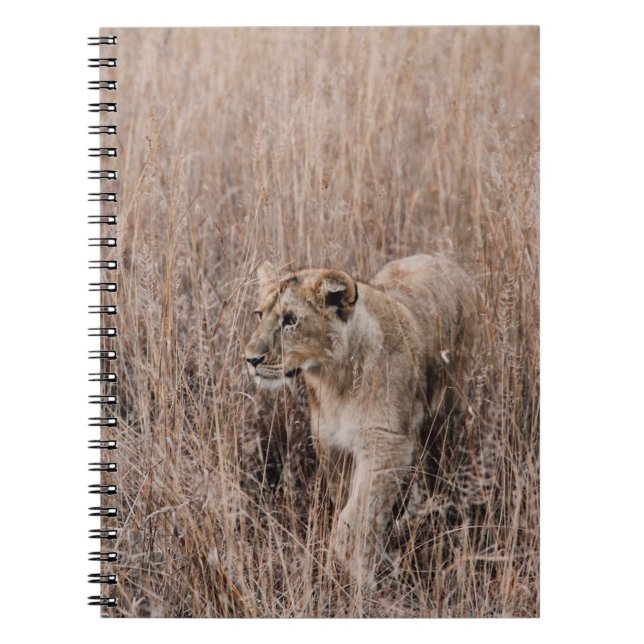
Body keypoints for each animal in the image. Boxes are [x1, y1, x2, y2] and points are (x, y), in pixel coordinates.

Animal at [245, 253, 477, 584]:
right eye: (259, 315)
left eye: (290, 320)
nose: (250, 359)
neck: (333, 379)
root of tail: (440, 257)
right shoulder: (331, 444)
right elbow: (347, 499)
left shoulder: (386, 443)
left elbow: (360, 510)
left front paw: (354, 567)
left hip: (449, 404)